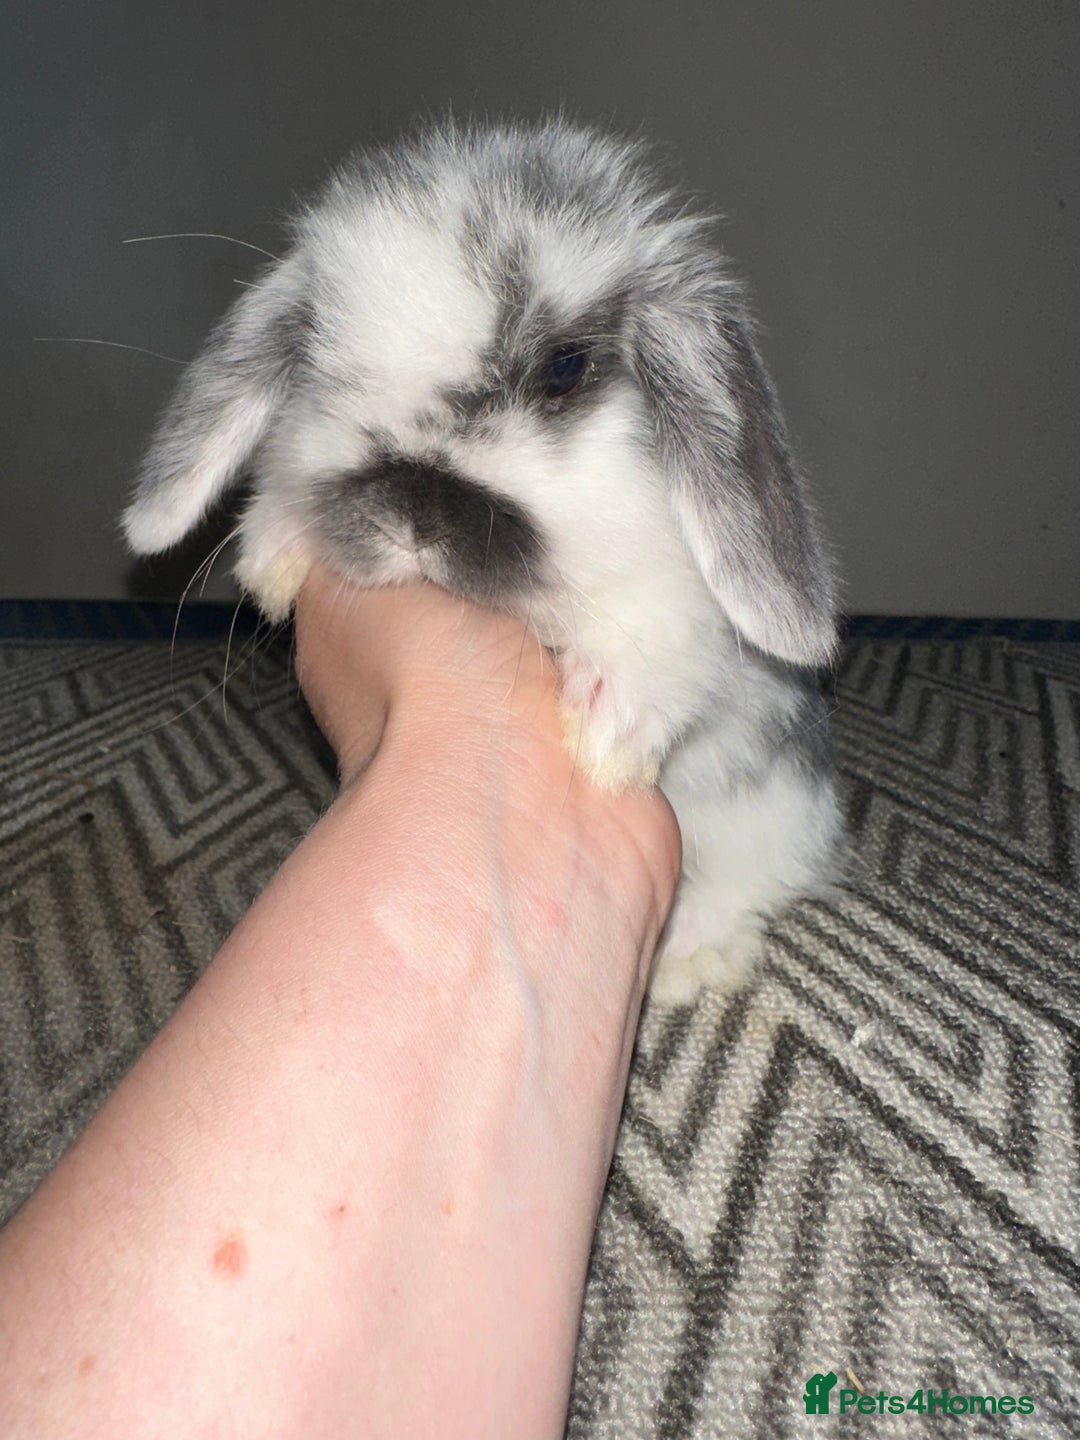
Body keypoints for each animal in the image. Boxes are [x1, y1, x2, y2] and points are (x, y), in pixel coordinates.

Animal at [123, 117, 845, 1004]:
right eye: (319, 360)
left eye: (566, 367)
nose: (413, 512)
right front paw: (275, 554)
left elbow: (673, 628)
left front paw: (610, 729)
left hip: (777, 809)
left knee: (759, 874)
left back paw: (690, 959)